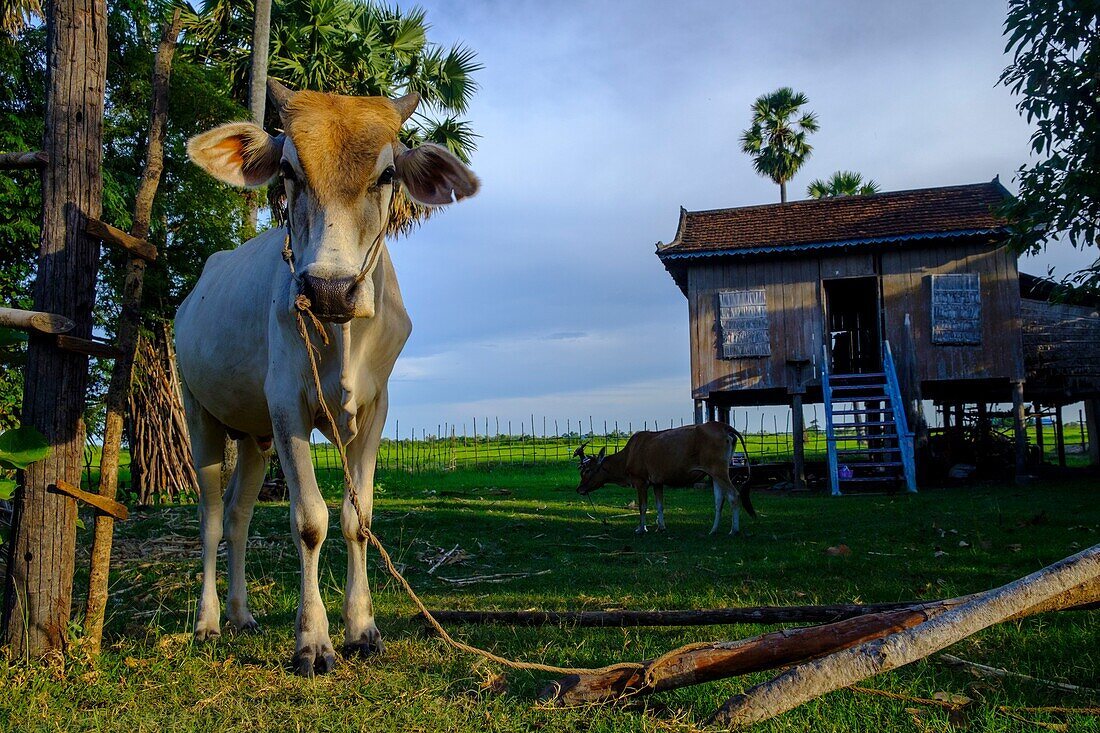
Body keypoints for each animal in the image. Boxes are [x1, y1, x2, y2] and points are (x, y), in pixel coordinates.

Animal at [176, 81, 477, 673]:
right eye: (288, 170)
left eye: (387, 174)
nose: (329, 290)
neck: (343, 336)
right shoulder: (287, 405)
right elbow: (309, 520)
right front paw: (313, 642)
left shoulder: (375, 408)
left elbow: (357, 520)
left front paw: (361, 629)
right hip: (200, 415)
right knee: (213, 517)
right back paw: (208, 621)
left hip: (255, 437)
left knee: (240, 515)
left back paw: (243, 615)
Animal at [576, 420, 748, 534]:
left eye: (587, 470)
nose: (579, 489)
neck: (628, 456)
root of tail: (722, 426)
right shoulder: (657, 482)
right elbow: (660, 505)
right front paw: (661, 526)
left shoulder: (641, 481)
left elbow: (643, 506)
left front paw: (641, 528)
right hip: (714, 474)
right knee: (719, 500)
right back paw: (713, 530)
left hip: (719, 471)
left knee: (734, 495)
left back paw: (734, 530)